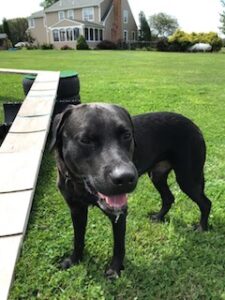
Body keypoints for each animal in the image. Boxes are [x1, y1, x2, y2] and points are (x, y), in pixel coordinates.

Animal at [50, 103, 212, 278]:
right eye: (85, 140)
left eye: (127, 135)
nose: (125, 178)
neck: (79, 185)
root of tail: (193, 125)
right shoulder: (76, 210)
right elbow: (78, 239)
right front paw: (73, 260)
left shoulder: (119, 213)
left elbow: (119, 246)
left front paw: (114, 270)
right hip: (157, 176)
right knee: (169, 197)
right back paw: (158, 217)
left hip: (188, 179)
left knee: (206, 203)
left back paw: (202, 227)